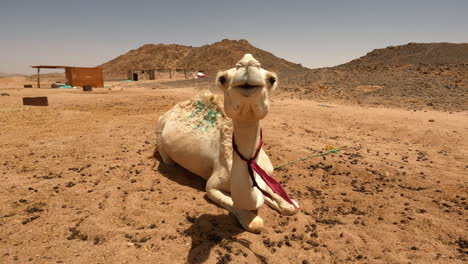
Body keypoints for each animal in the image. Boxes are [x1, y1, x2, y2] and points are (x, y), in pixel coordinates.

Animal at [155, 54, 298, 233]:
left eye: (272, 79)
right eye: (222, 78)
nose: (247, 62)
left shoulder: (266, 175)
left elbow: (290, 207)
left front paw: (286, 203)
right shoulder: (212, 186)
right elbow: (253, 221)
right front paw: (252, 218)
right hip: (160, 131)